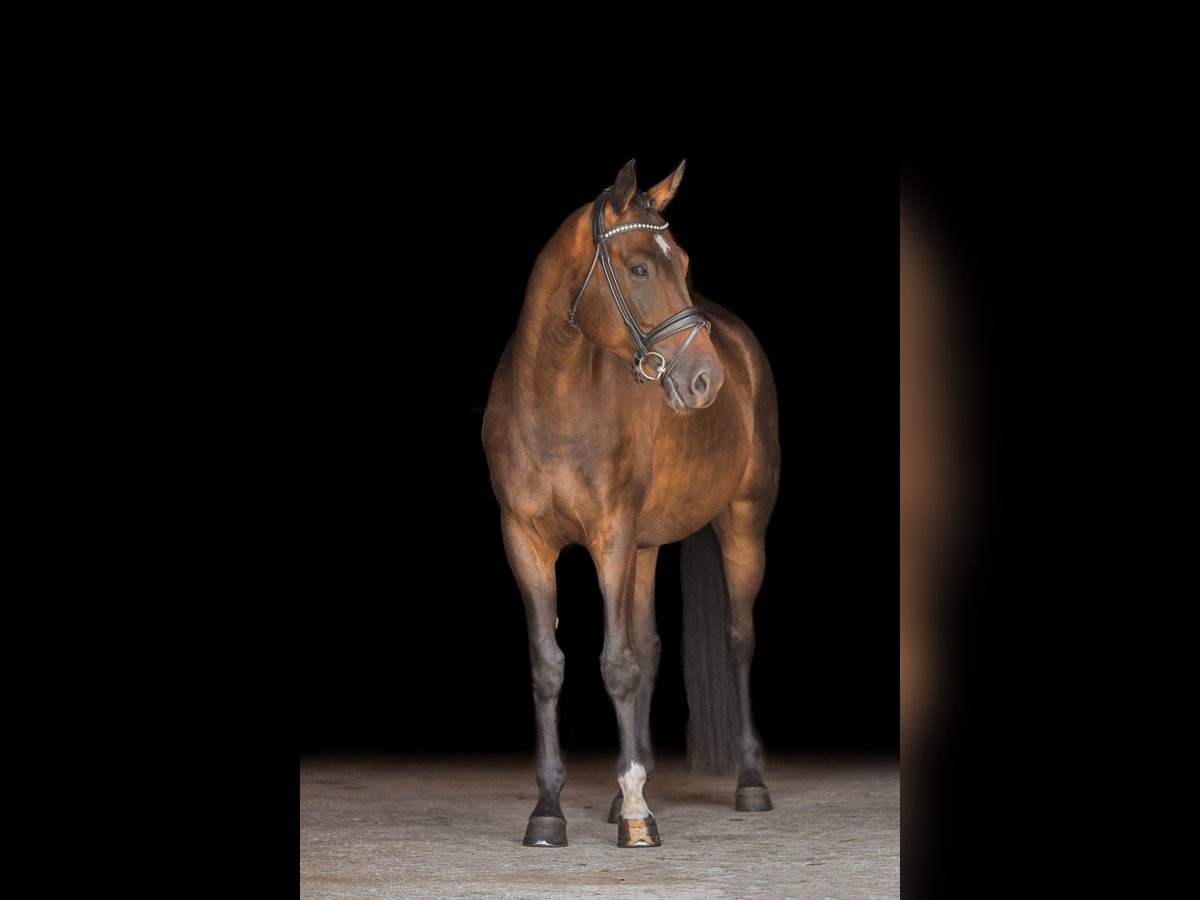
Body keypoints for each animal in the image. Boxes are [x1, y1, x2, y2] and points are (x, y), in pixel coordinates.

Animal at [482, 160, 782, 844]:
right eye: (640, 268)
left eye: (685, 262)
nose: (705, 380)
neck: (554, 398)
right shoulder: (526, 541)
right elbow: (550, 665)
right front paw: (549, 811)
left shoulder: (610, 536)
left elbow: (616, 663)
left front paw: (639, 817)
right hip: (646, 546)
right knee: (649, 649)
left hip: (742, 523)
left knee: (739, 638)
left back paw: (749, 783)